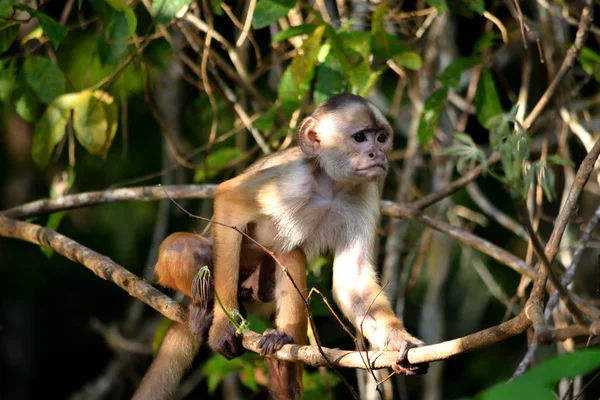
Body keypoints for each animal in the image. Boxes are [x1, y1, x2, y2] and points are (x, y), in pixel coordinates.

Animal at [134, 94, 428, 400]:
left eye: (381, 138)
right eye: (360, 138)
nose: (377, 154)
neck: (329, 185)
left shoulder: (365, 192)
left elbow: (352, 283)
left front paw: (402, 343)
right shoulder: (290, 177)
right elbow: (228, 201)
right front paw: (223, 326)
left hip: (257, 292)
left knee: (290, 254)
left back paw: (283, 374)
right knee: (181, 246)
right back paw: (202, 312)